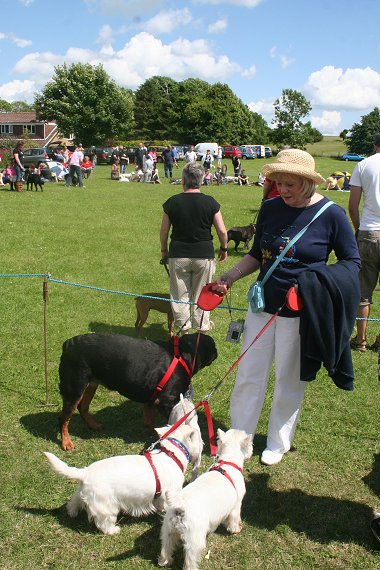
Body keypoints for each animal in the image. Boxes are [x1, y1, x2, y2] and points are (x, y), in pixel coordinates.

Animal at [57, 332, 217, 448]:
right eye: (213, 346)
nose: (217, 351)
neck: (184, 355)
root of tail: (68, 344)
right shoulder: (167, 401)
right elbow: (173, 424)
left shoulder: (151, 400)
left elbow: (150, 420)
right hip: (75, 387)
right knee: (64, 417)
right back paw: (66, 442)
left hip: (91, 385)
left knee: (82, 407)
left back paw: (92, 424)